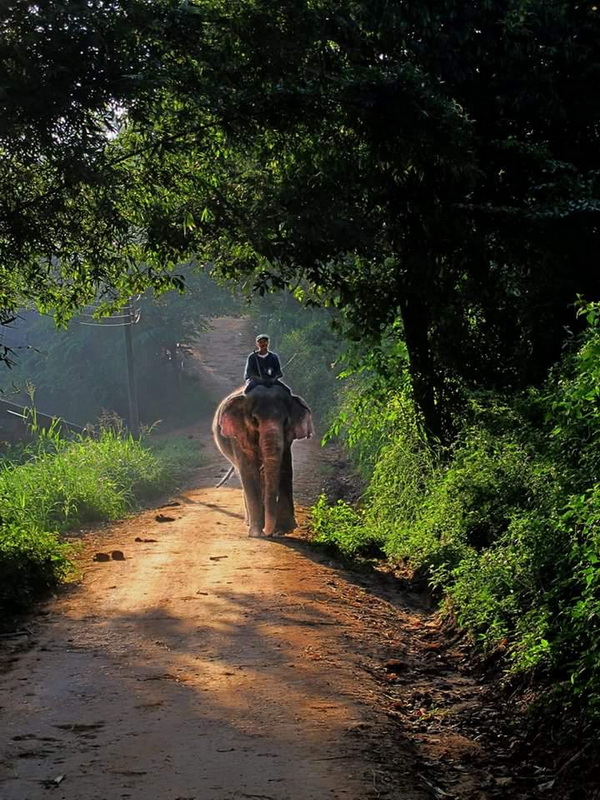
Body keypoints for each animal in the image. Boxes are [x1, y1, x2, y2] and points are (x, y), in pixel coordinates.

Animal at [212, 382, 314, 536]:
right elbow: (249, 471)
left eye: (286, 421)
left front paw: (283, 530)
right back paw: (249, 523)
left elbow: (285, 468)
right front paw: (257, 534)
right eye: (254, 420)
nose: (267, 532)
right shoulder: (238, 436)